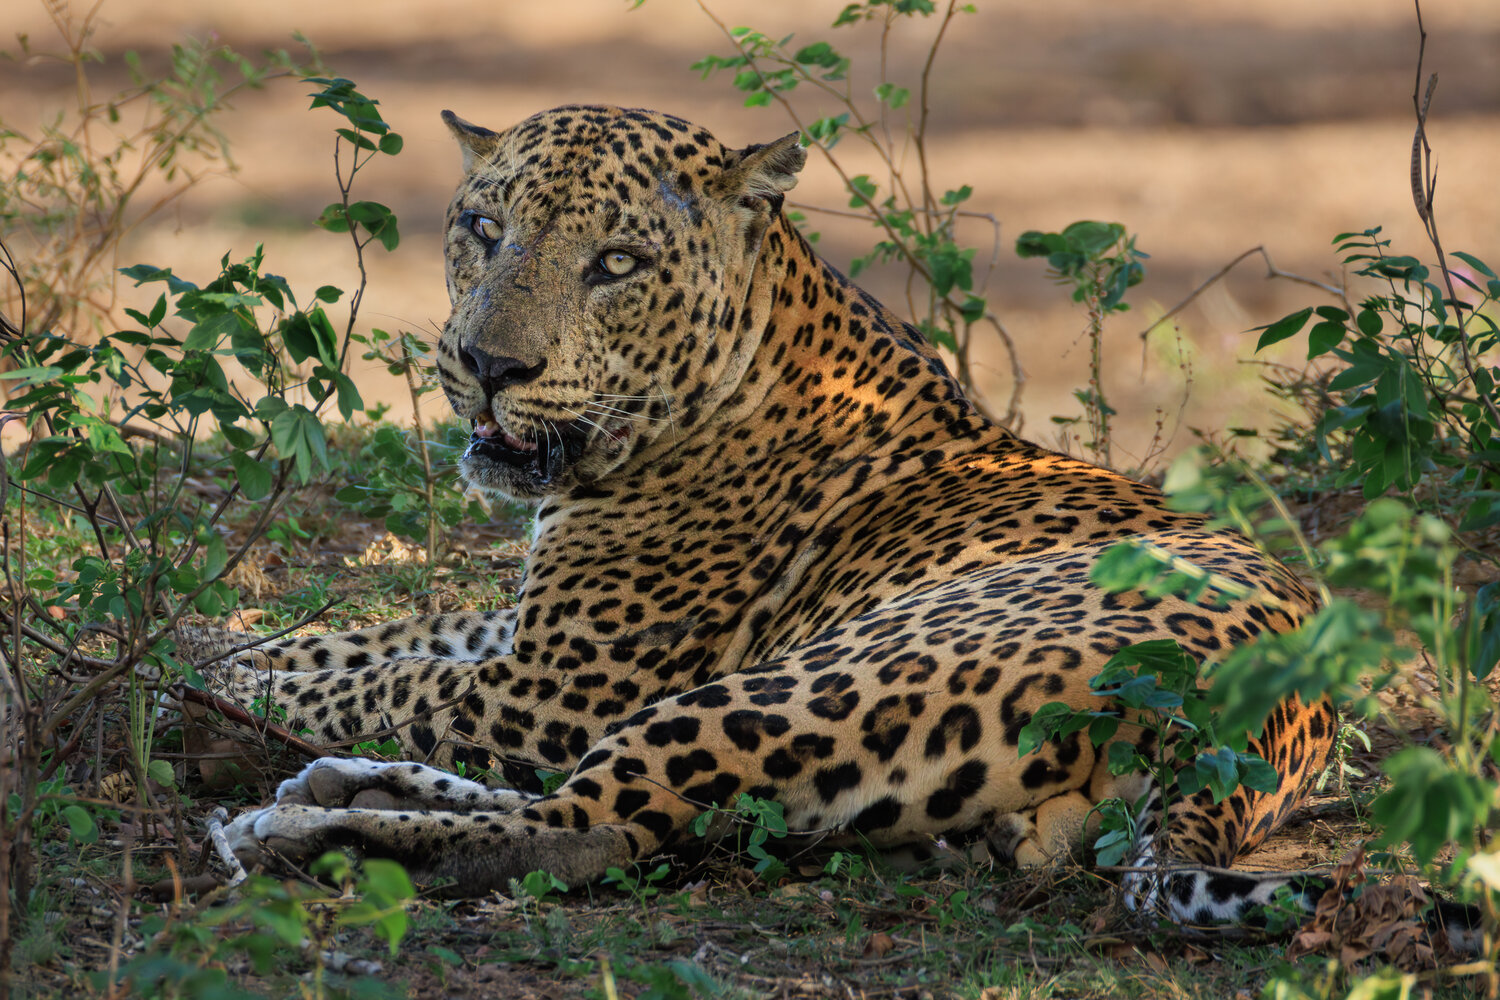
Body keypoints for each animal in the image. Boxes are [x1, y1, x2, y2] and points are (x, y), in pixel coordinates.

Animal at [215, 103, 1351, 930]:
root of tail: (1265, 708)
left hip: (811, 679)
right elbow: (382, 637)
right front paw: (230, 649)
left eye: (617, 263)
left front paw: (227, 681)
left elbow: (386, 679)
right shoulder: (528, 631)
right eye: (483, 230)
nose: (488, 366)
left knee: (592, 825)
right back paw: (344, 789)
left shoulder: (561, 685)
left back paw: (306, 831)